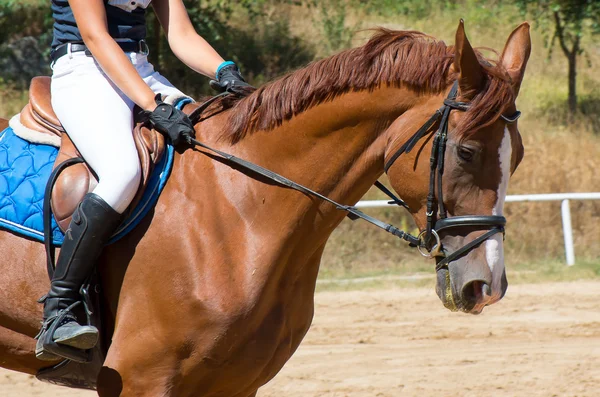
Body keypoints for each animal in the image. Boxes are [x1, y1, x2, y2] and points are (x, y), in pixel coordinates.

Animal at [0, 21, 528, 396]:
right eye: (466, 152)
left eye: (517, 156)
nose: (487, 286)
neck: (240, 210)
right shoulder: (140, 377)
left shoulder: (235, 383)